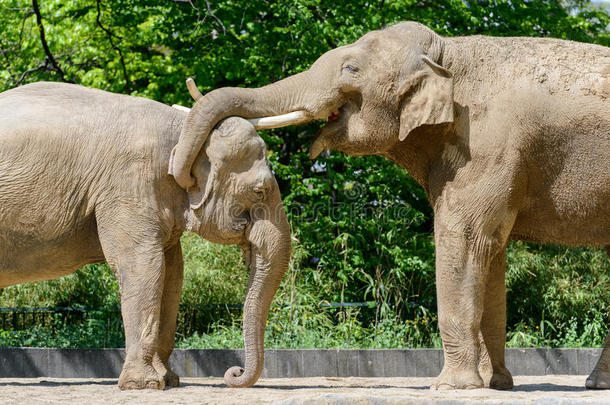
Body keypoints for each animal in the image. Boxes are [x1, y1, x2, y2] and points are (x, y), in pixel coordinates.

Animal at [0, 82, 290, 388]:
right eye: (259, 191)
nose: (233, 373)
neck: (184, 131)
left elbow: (173, 274)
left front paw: (169, 381)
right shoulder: (129, 184)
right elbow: (144, 266)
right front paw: (144, 385)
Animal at [169, 21, 608, 388]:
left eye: (350, 68)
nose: (183, 174)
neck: (449, 53)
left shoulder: (487, 147)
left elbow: (466, 239)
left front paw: (451, 388)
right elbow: (491, 253)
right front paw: (495, 385)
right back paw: (594, 384)